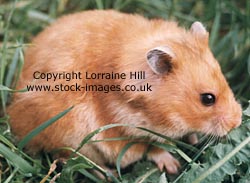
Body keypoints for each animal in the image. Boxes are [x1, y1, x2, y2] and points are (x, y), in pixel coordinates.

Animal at [8, 10, 242, 174]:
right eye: (207, 99)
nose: (238, 121)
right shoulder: (123, 133)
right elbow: (152, 148)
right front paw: (173, 165)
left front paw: (192, 139)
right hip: (71, 139)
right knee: (73, 159)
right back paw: (108, 174)